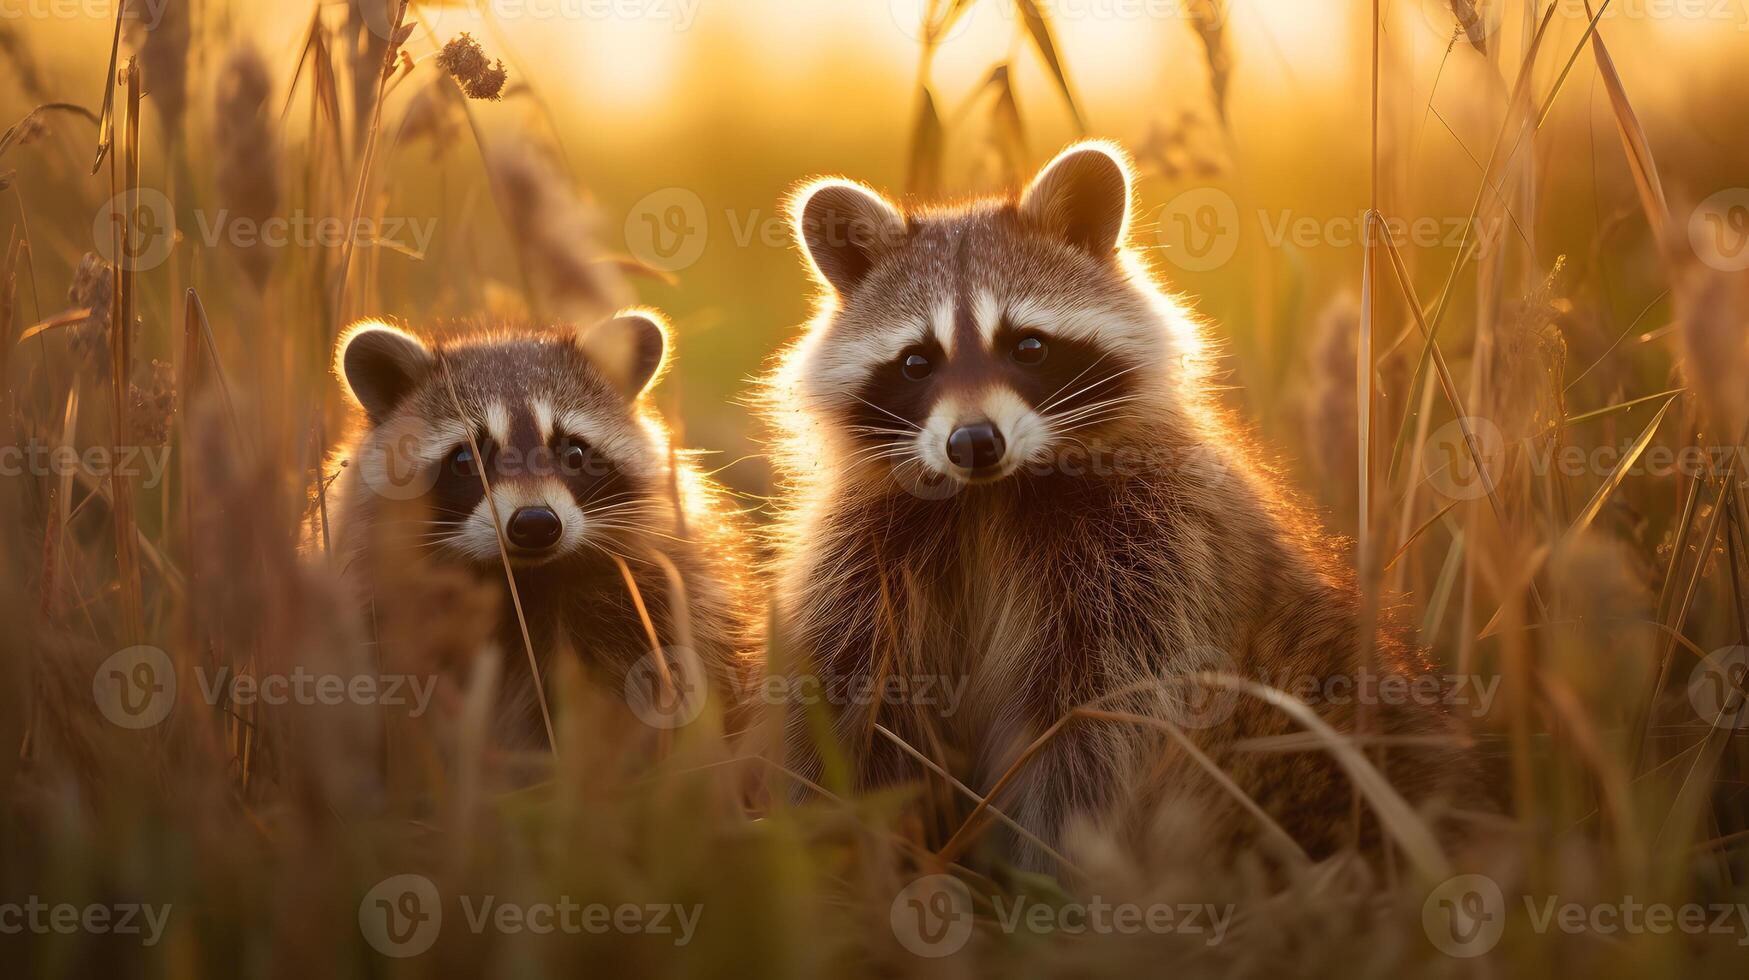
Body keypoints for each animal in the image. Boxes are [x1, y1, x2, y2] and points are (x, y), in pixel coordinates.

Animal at [762, 143, 1476, 864]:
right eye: (916, 362)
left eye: (1028, 345)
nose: (972, 443)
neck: (990, 498)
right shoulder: (861, 559)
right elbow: (856, 704)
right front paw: (855, 844)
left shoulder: (1154, 553)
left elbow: (1100, 720)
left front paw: (1056, 859)